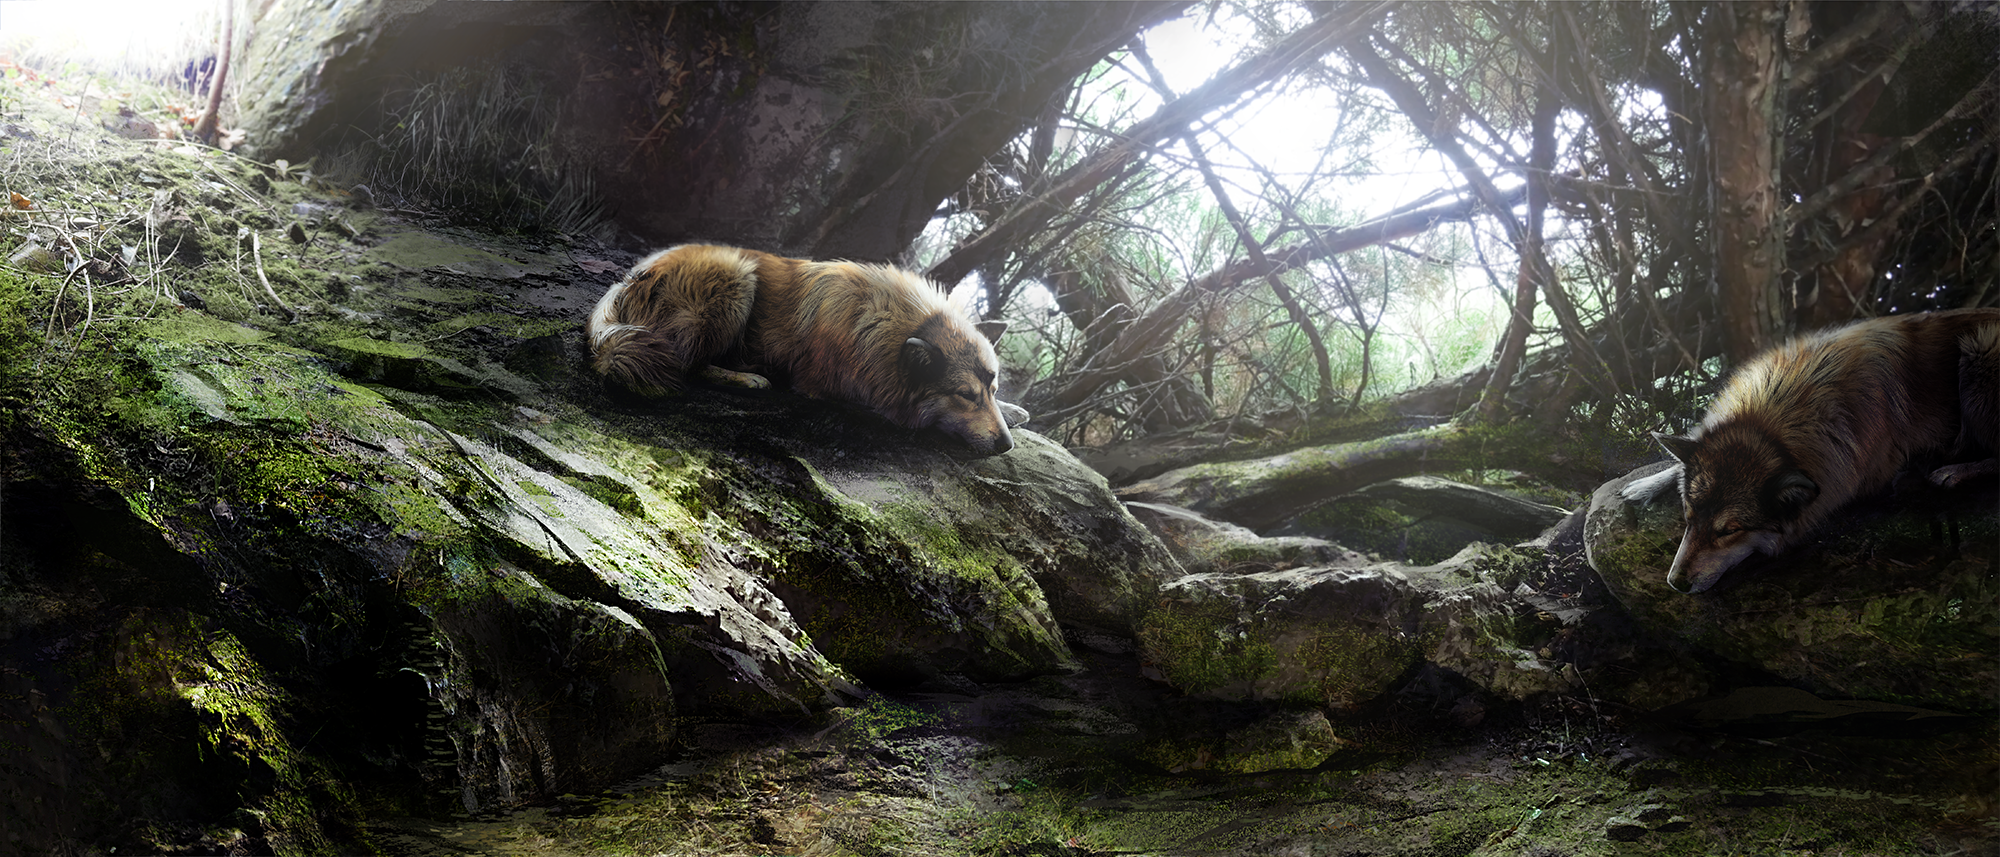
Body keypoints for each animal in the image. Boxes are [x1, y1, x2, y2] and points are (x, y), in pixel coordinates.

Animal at [588, 244, 1017, 456]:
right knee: (687, 363)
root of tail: (628, 279)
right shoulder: (840, 391)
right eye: (965, 395)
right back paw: (749, 378)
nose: (1006, 446)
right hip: (737, 276)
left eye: (992, 390)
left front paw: (1015, 411)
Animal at [1625, 308, 2000, 593]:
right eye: (1688, 518)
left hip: (1981, 349)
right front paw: (1644, 485)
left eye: (1729, 531)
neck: (1774, 423)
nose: (1675, 583)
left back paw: (1948, 471)